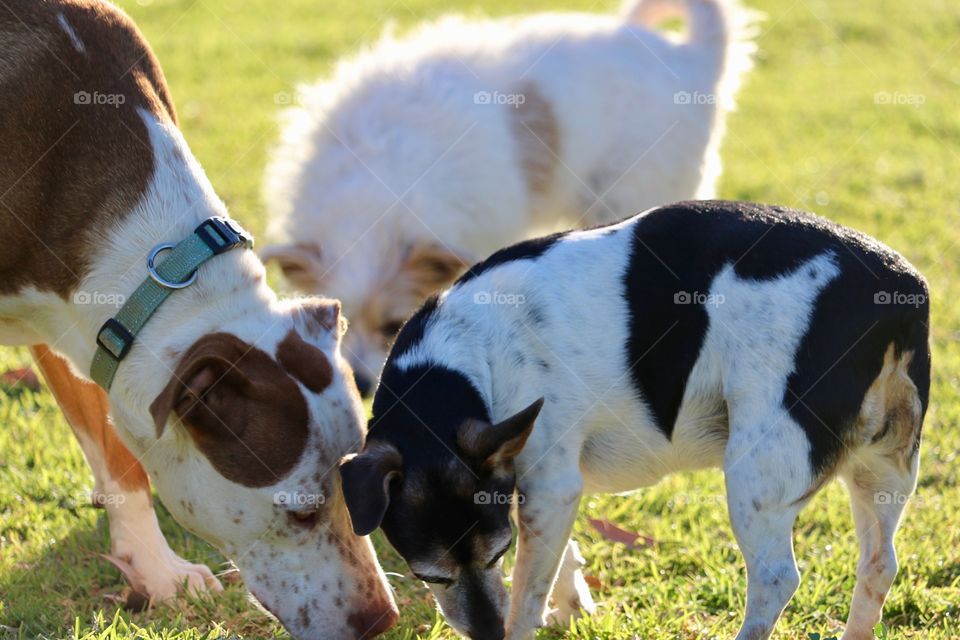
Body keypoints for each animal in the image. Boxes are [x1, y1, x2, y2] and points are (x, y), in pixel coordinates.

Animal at [340, 200, 928, 640]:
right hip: (883, 470)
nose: (485, 635)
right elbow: (552, 559)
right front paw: (571, 602)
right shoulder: (539, 491)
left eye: (497, 554)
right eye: (429, 575)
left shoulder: (549, 485)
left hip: (756, 472)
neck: (468, 358)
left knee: (776, 578)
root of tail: (898, 289)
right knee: (880, 565)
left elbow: (527, 594)